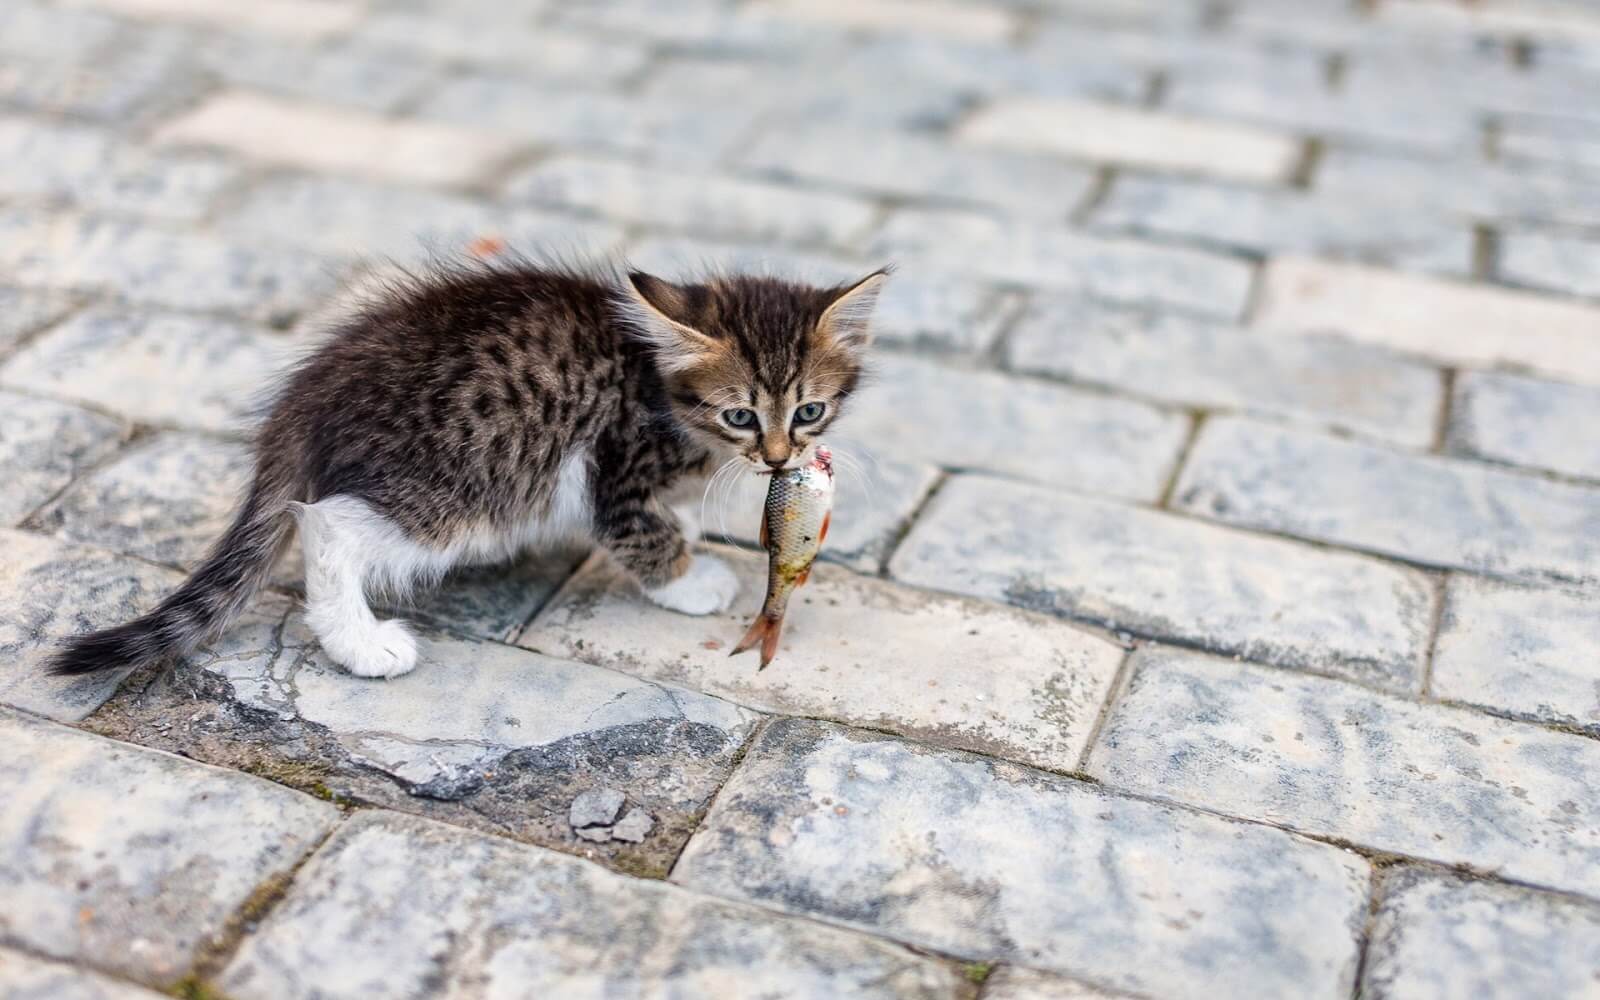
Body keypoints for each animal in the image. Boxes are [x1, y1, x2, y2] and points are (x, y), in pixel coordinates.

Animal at [50, 257, 889, 678]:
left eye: (808, 411)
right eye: (740, 415)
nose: (780, 458)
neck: (655, 379)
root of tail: (306, 395)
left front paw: (690, 526)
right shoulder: (613, 460)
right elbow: (637, 530)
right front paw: (687, 580)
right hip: (467, 483)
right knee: (328, 524)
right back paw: (361, 643)